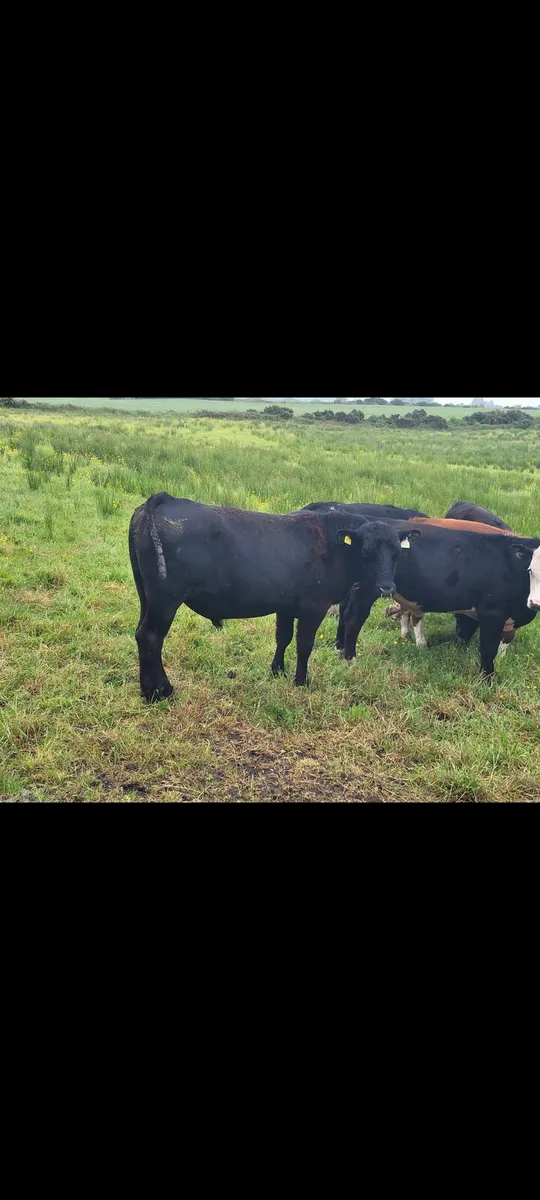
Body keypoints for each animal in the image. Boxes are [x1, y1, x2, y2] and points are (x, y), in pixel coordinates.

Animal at [128, 494, 415, 701]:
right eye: (367, 551)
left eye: (396, 553)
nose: (386, 587)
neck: (332, 543)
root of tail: (166, 499)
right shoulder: (313, 607)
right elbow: (304, 645)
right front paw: (301, 681)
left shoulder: (286, 605)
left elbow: (283, 638)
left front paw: (277, 671)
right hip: (166, 601)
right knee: (151, 637)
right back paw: (160, 691)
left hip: (147, 598)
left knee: (142, 635)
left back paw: (148, 689)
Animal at [335, 519, 540, 682]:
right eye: (531, 570)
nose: (535, 603)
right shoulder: (492, 613)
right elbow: (488, 649)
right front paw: (486, 680)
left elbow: (503, 643)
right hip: (366, 591)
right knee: (353, 618)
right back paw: (350, 659)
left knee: (344, 612)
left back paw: (339, 649)